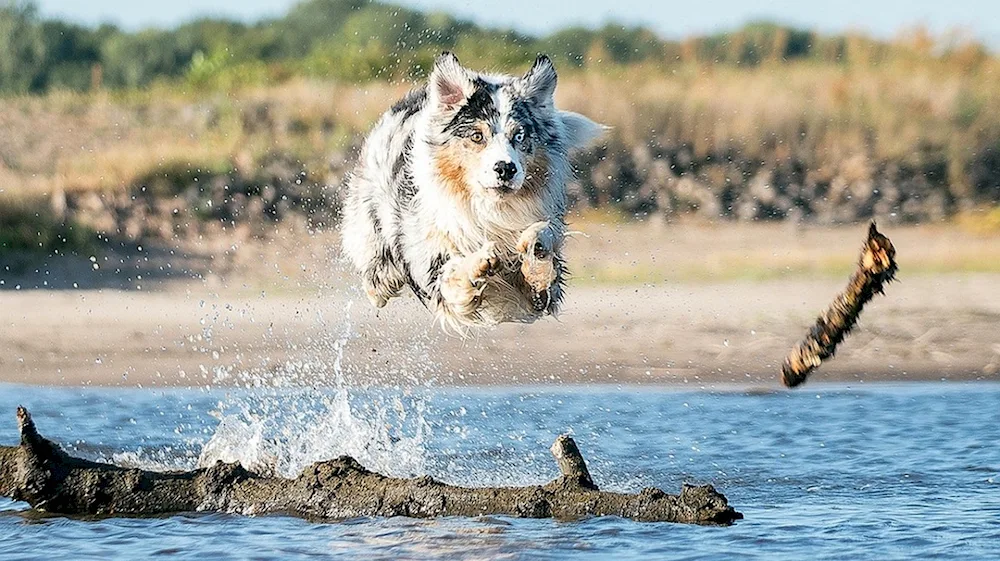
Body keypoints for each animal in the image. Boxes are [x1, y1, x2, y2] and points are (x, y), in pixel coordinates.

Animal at [340, 53, 600, 330]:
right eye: (477, 136)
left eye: (519, 136)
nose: (506, 168)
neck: (490, 210)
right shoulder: (432, 269)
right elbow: (452, 273)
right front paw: (479, 263)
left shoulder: (541, 295)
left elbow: (542, 244)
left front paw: (536, 247)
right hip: (375, 249)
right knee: (377, 285)